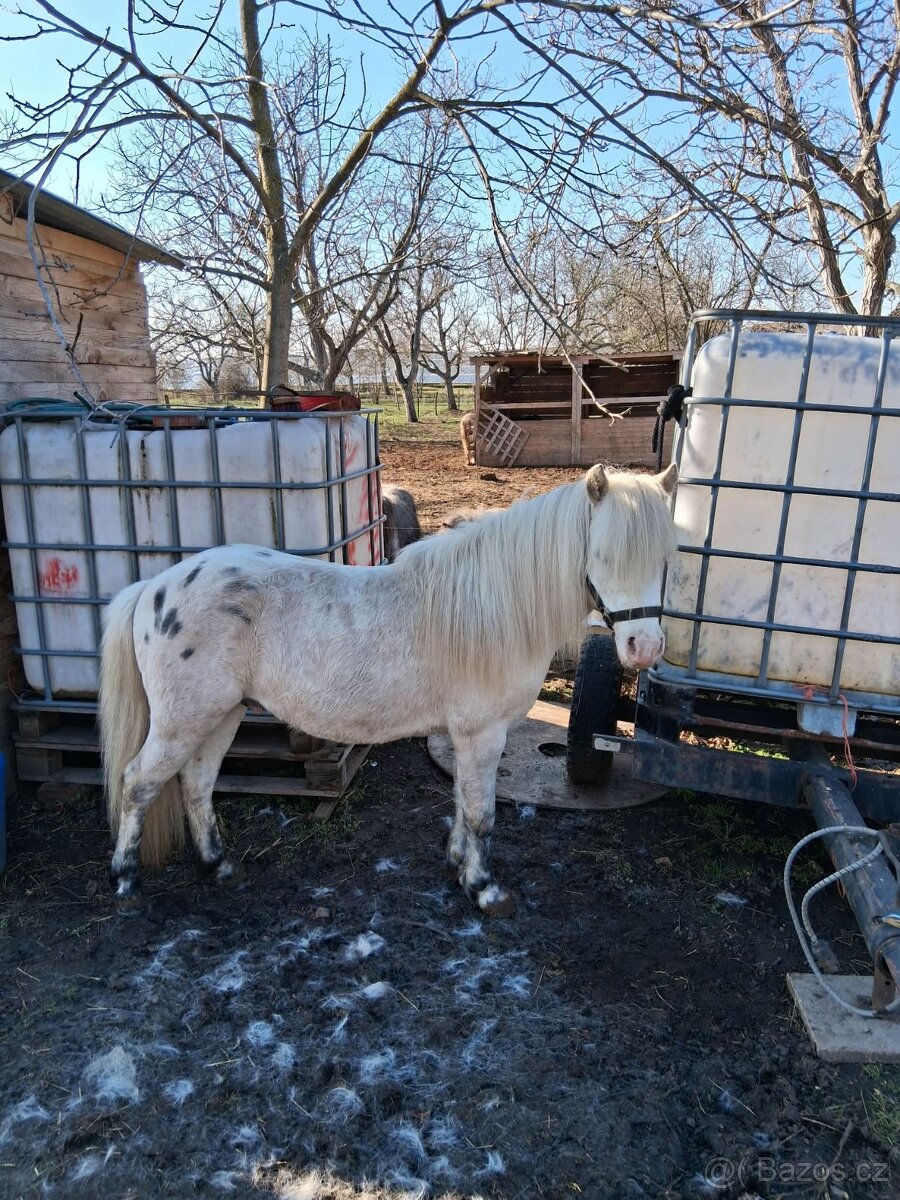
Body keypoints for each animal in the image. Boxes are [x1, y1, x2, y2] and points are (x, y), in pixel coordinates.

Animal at [100, 462, 678, 917]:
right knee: (138, 784)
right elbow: (481, 813)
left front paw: (457, 865)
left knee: (196, 784)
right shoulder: (482, 734)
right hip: (183, 721)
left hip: (222, 715)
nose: (643, 648)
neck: (492, 610)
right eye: (603, 555)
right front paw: (484, 890)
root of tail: (153, 588)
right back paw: (126, 882)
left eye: (666, 560)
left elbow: (462, 802)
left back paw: (220, 867)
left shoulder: (465, 738)